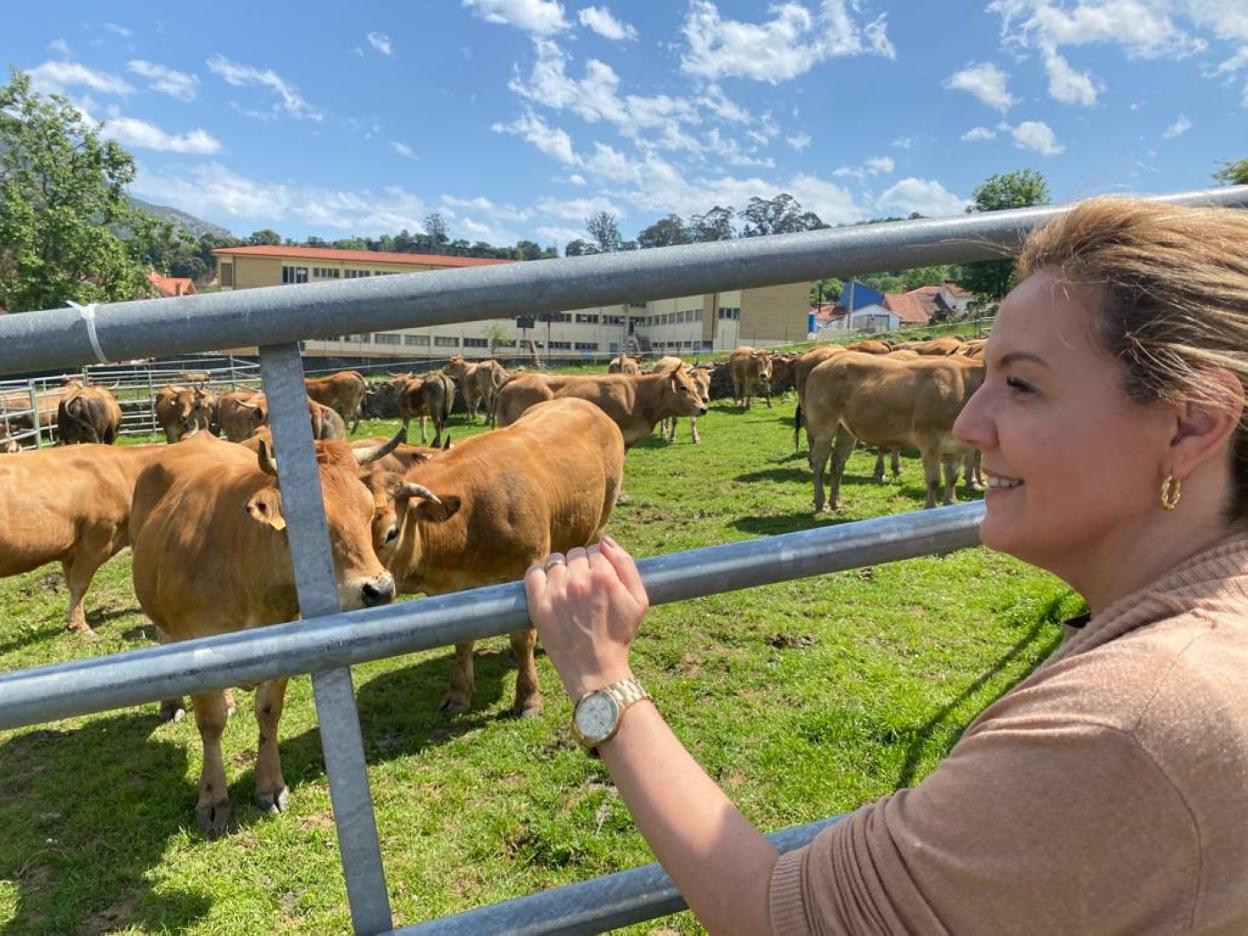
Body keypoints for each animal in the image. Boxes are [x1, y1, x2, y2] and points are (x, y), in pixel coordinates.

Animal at [129, 432, 401, 836]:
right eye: (307, 522)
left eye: (368, 513)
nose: (379, 589)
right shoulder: (195, 644)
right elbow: (210, 724)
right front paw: (213, 799)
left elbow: (269, 712)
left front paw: (270, 786)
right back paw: (172, 703)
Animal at [369, 398, 624, 717]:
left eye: (391, 533)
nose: (372, 590)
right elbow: (462, 640)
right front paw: (459, 695)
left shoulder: (526, 570)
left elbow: (522, 637)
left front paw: (528, 698)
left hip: (597, 526)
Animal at [804, 352, 984, 511]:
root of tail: (825, 363)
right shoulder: (930, 440)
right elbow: (934, 481)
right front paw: (930, 508)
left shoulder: (956, 446)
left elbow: (952, 478)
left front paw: (950, 504)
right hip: (823, 426)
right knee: (820, 462)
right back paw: (821, 502)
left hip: (846, 429)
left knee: (838, 462)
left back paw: (836, 502)